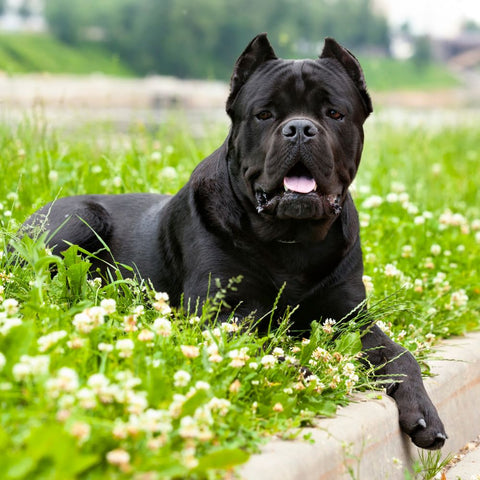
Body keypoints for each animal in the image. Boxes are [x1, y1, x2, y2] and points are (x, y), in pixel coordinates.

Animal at [20, 34, 444, 450]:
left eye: (334, 113)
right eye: (265, 114)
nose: (300, 129)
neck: (291, 240)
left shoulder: (350, 316)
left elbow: (400, 354)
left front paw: (424, 412)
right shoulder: (220, 312)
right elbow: (262, 348)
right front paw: (304, 371)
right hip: (79, 219)